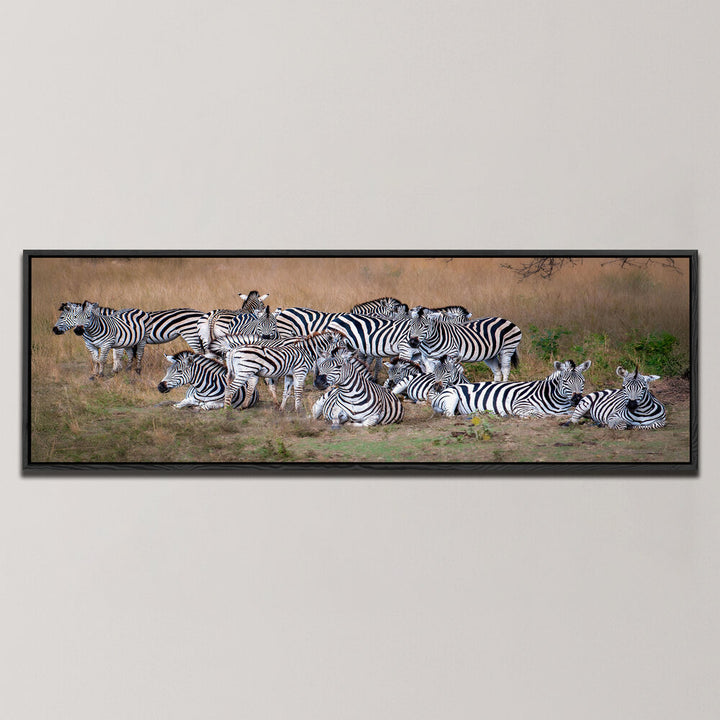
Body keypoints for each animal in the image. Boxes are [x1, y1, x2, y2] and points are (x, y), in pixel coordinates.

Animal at [429, 359, 592, 418]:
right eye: (565, 381)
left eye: (582, 381)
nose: (577, 398)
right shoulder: (520, 405)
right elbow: (538, 413)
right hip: (452, 397)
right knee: (449, 415)